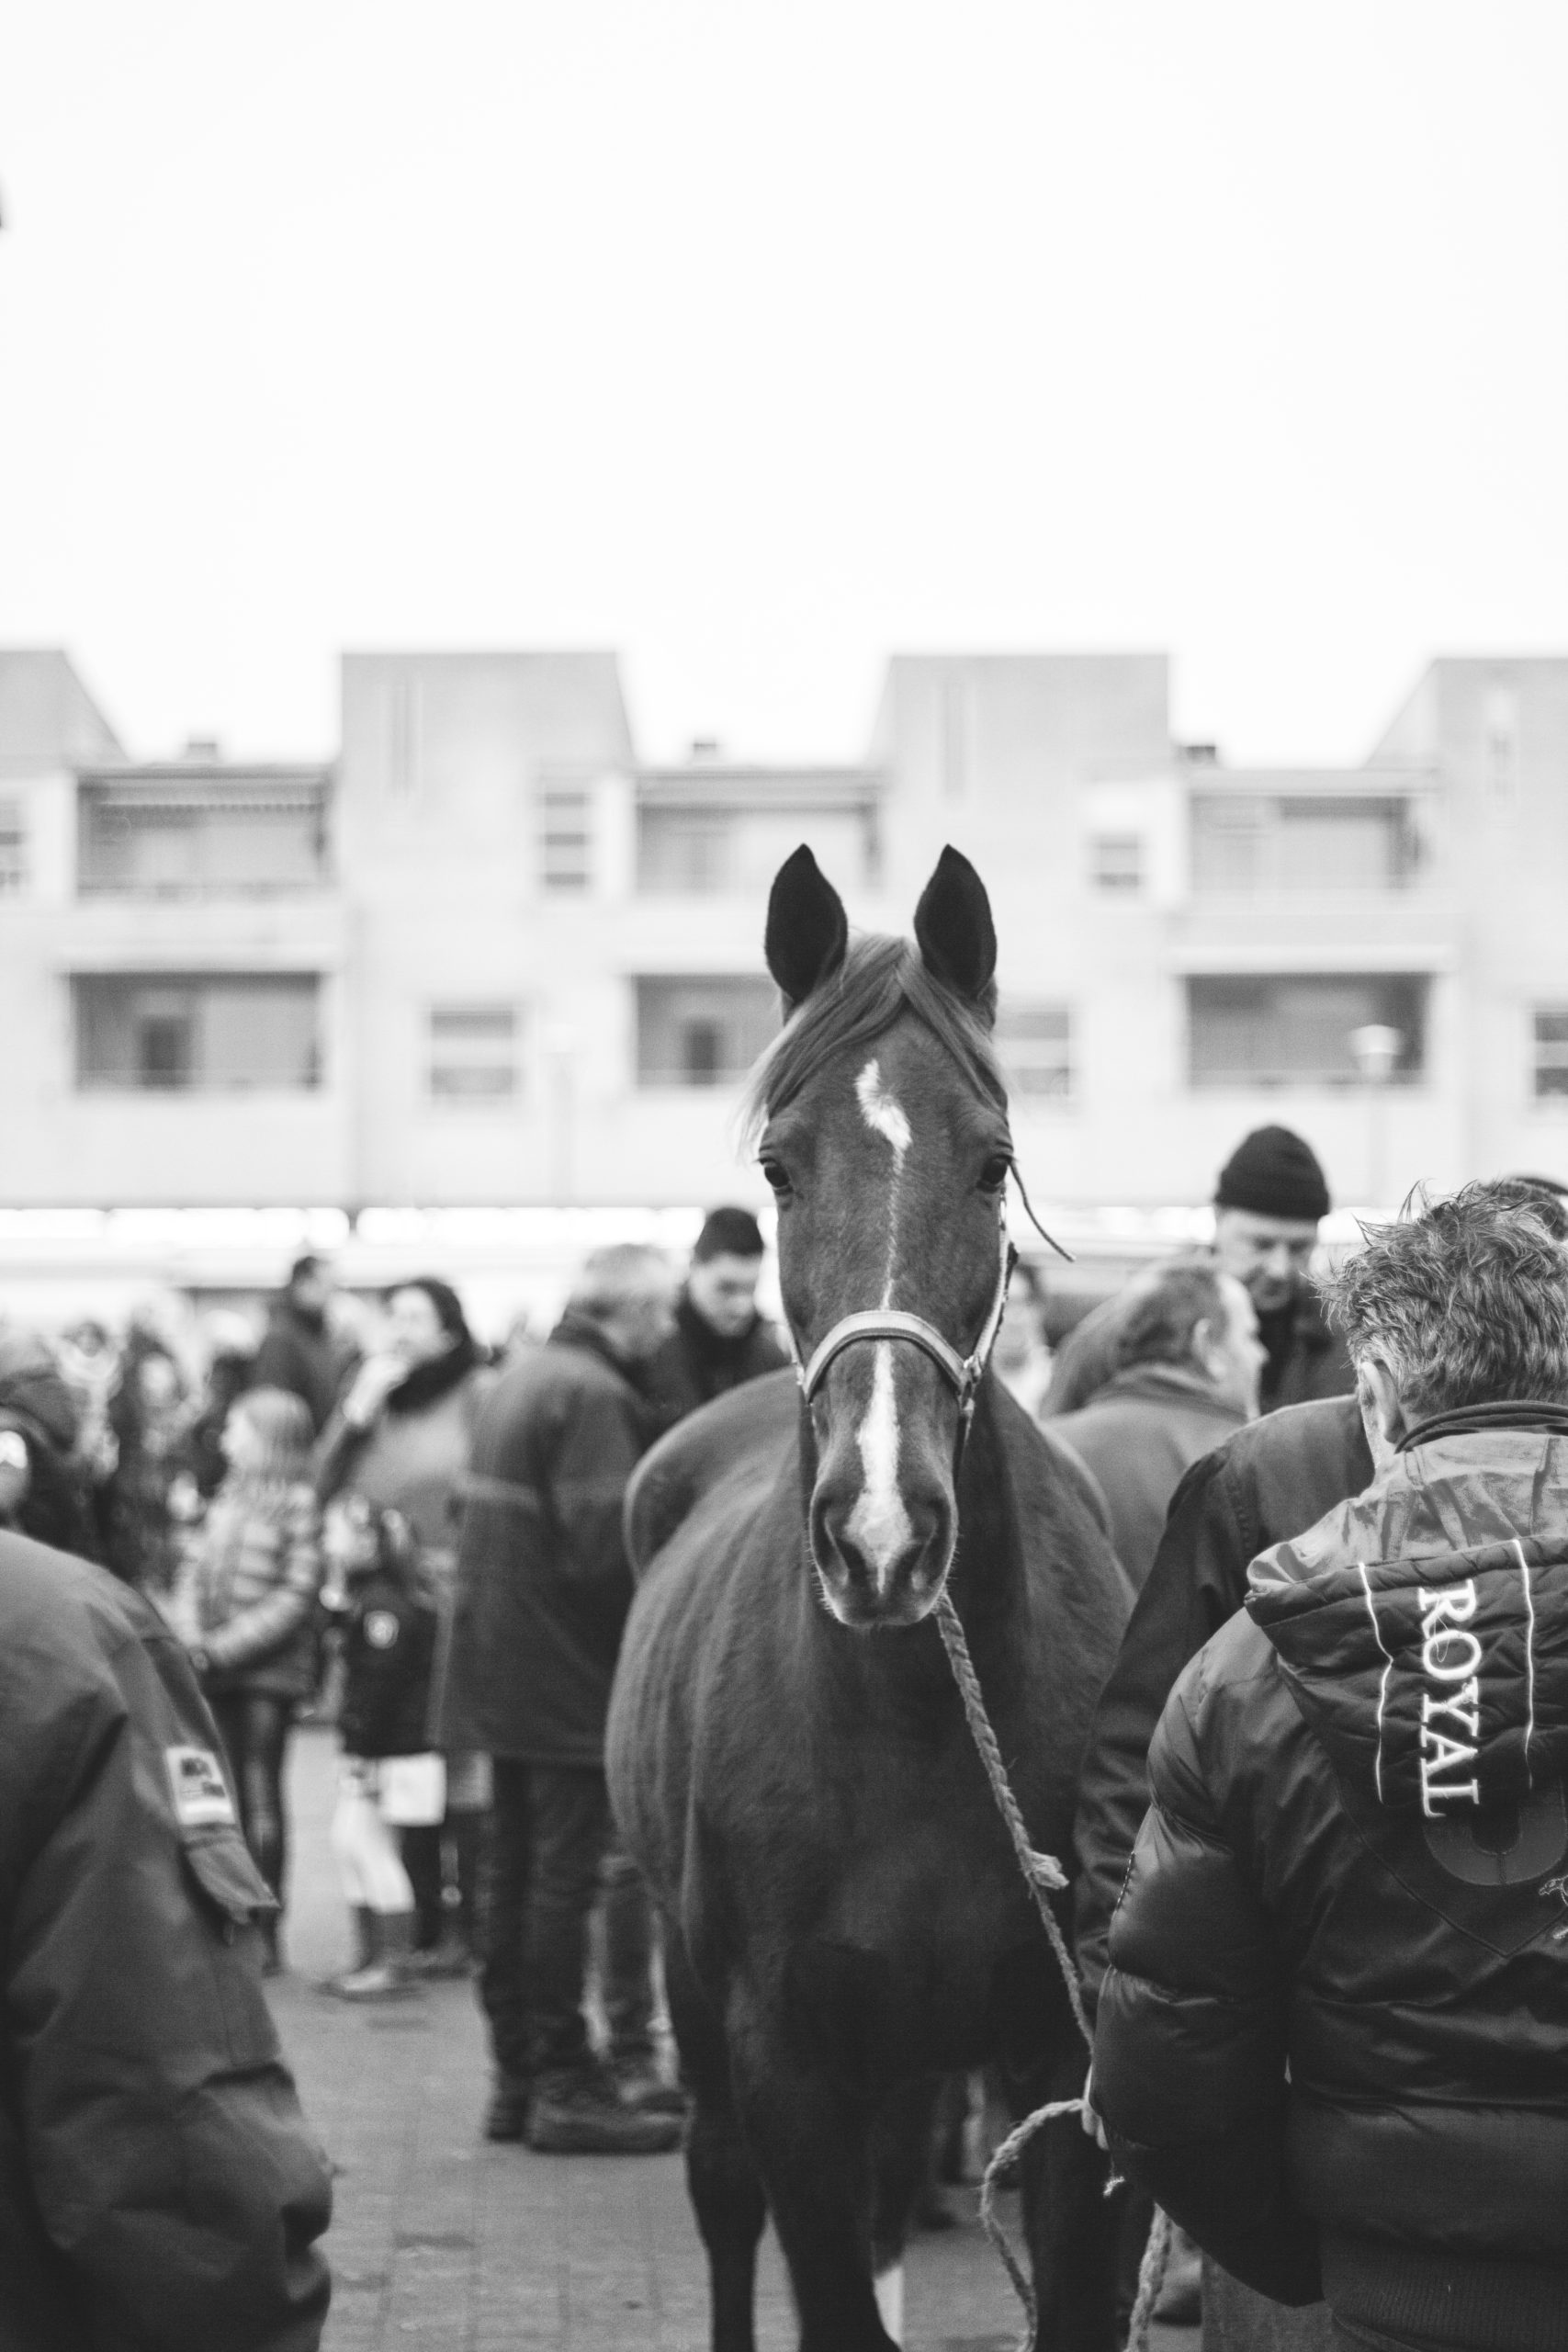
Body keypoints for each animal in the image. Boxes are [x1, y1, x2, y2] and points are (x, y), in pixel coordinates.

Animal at [606, 844, 1132, 2352]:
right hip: (692, 1985)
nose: (881, 1529)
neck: (913, 1715)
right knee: (722, 2195)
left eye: (992, 1162)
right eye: (779, 1168)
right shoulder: (782, 2057)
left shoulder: (1067, 2067)